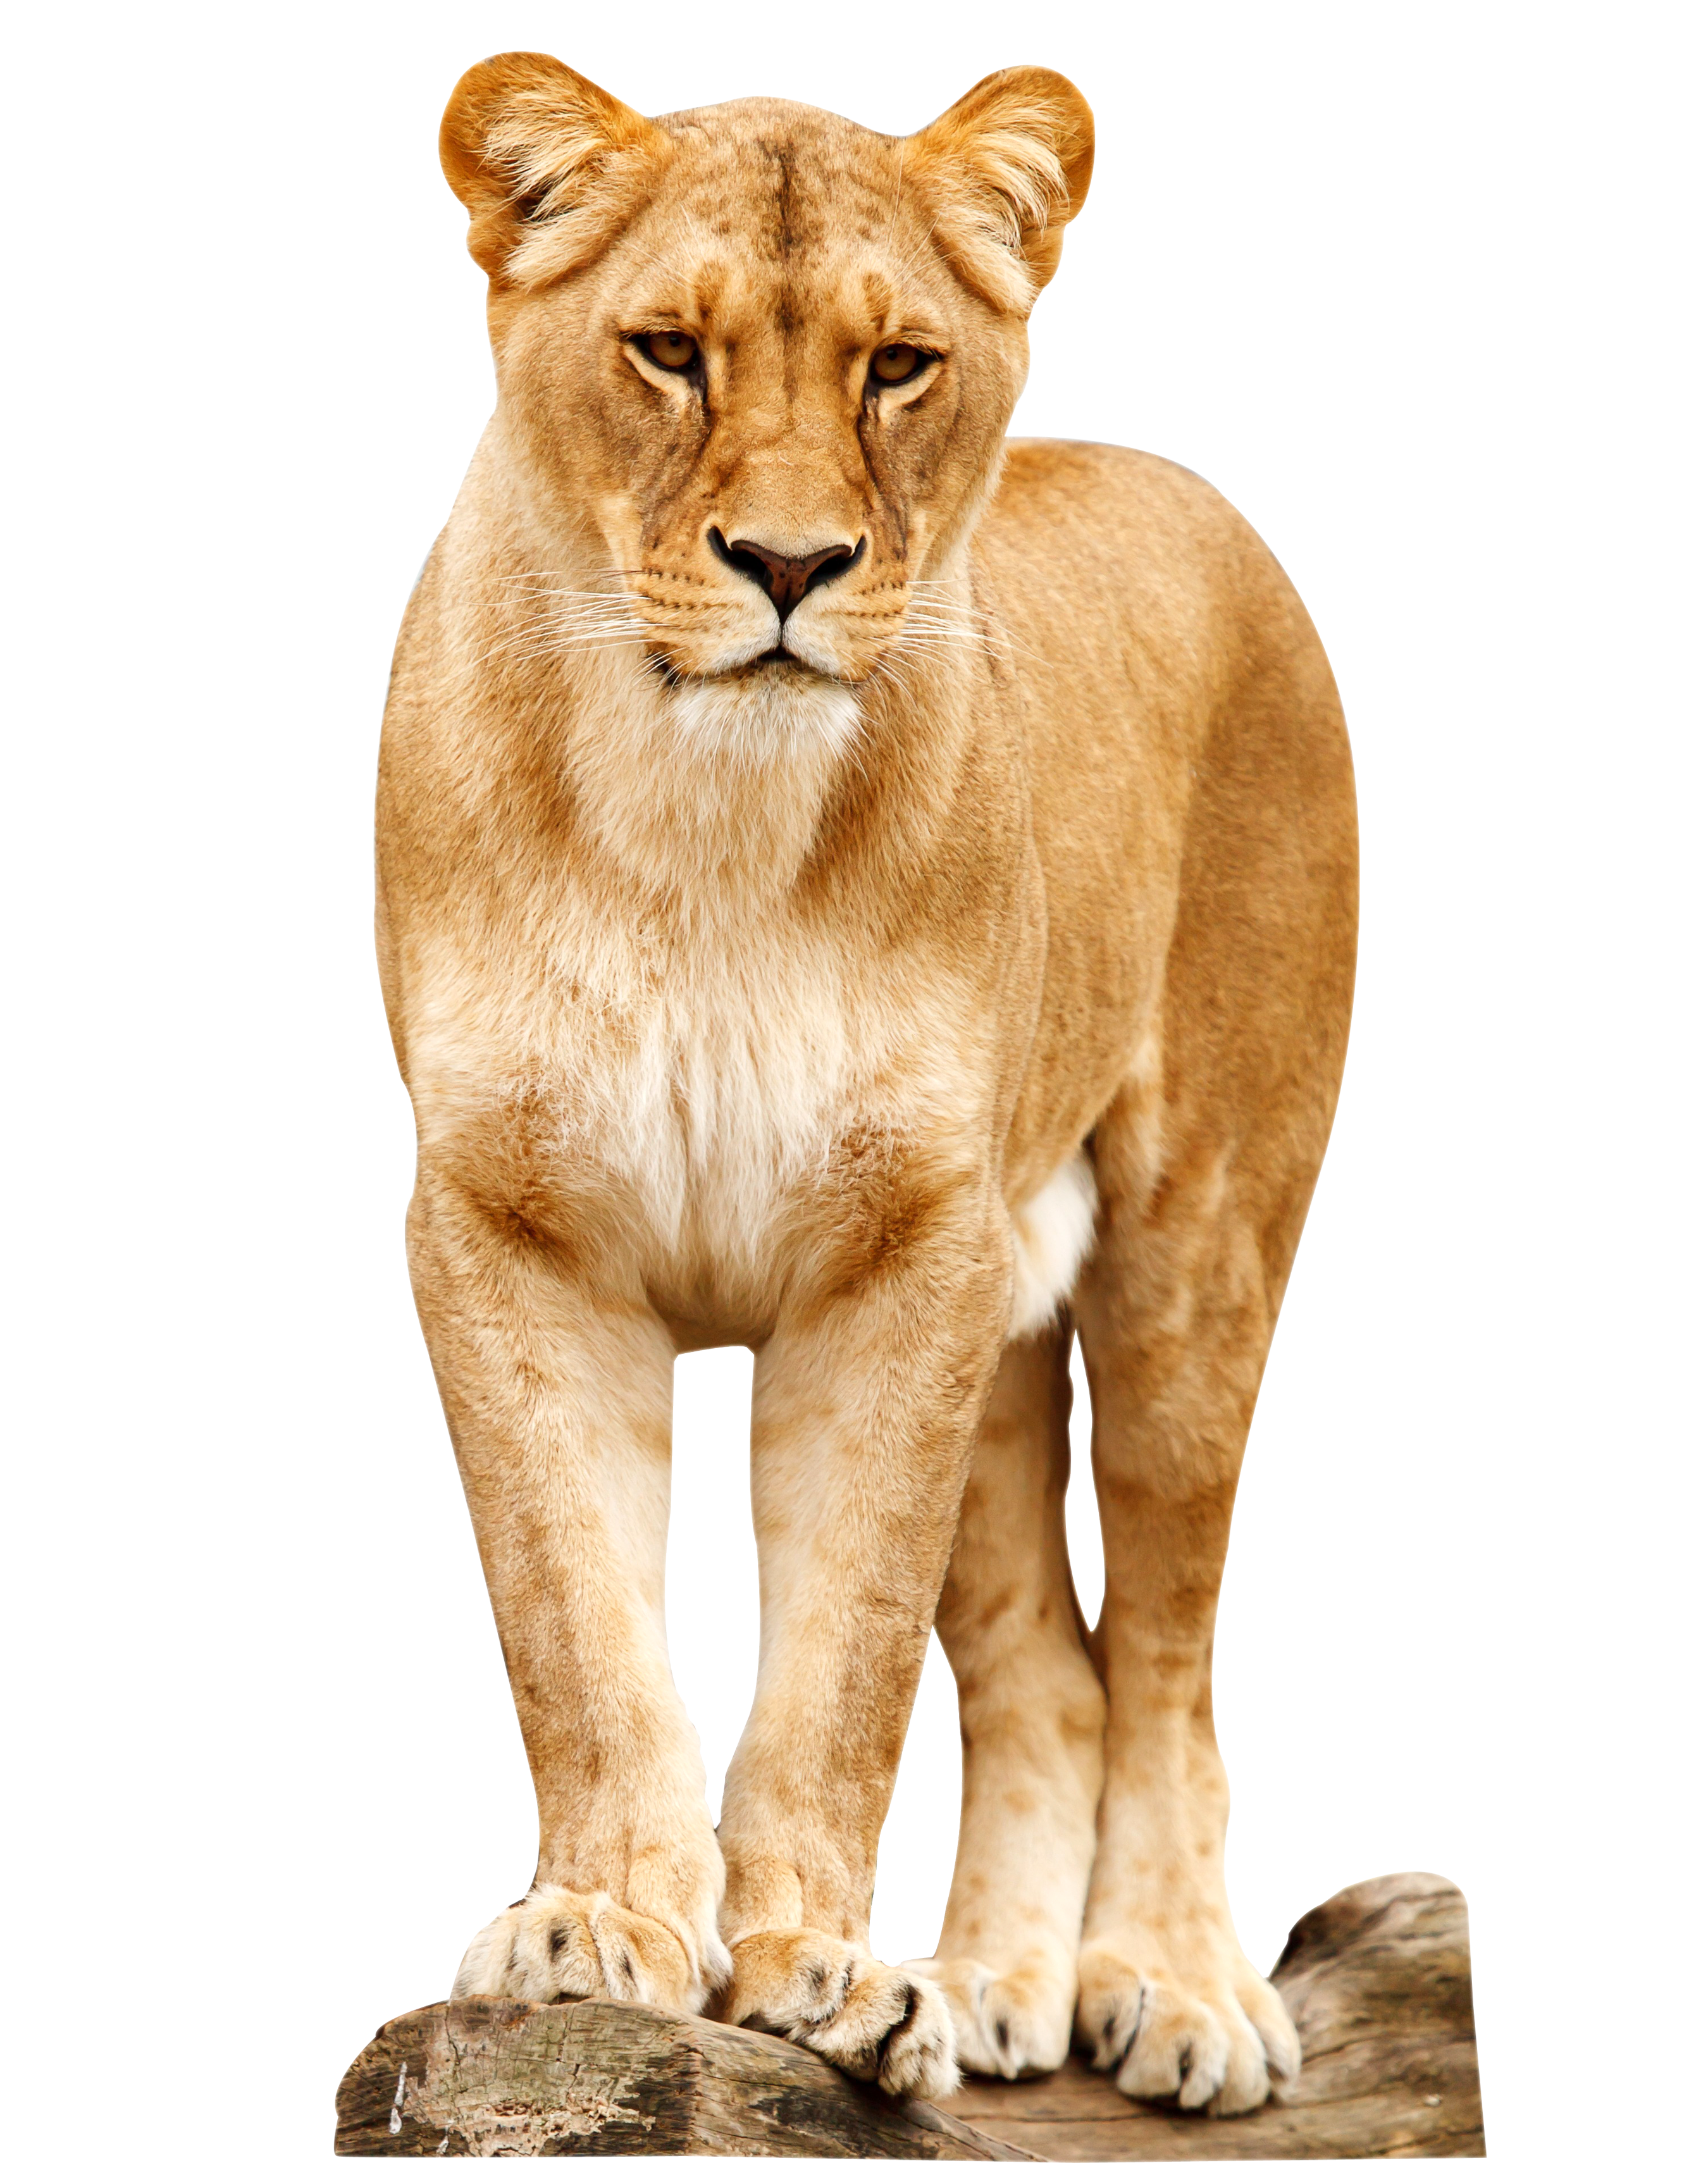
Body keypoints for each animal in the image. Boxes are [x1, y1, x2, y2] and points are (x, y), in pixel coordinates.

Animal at [376, 52, 1357, 2117]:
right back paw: (988, 1985)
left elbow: (841, 1663)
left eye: (900, 365)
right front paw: (603, 1926)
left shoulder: (900, 1253)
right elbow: (582, 1624)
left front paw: (813, 1968)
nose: (790, 567)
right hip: (1001, 1325)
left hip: (1191, 1249)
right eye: (667, 350)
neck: (702, 823)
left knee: (1175, 1636)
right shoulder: (510, 1229)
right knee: (1051, 1667)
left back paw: (1175, 1986)